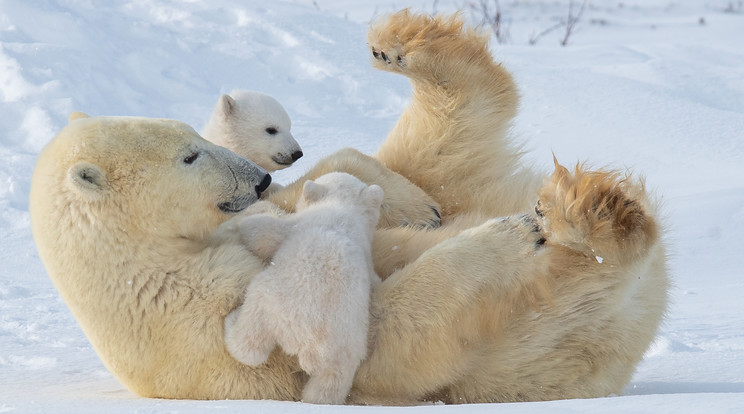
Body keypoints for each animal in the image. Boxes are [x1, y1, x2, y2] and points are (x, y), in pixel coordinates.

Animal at [224, 172, 380, 404]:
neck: (344, 209)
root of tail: (310, 345)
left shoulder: (298, 225)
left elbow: (263, 232)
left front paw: (253, 213)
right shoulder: (367, 254)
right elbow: (375, 277)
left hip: (270, 303)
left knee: (250, 343)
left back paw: (231, 322)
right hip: (347, 349)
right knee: (328, 386)